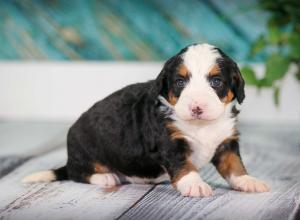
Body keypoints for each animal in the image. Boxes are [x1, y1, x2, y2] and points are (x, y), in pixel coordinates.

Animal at [22, 43, 268, 198]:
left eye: (216, 81)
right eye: (180, 82)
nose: (196, 107)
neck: (200, 126)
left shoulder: (226, 143)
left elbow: (235, 165)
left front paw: (248, 181)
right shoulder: (170, 142)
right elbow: (184, 166)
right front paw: (195, 184)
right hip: (84, 149)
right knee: (77, 173)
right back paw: (105, 177)